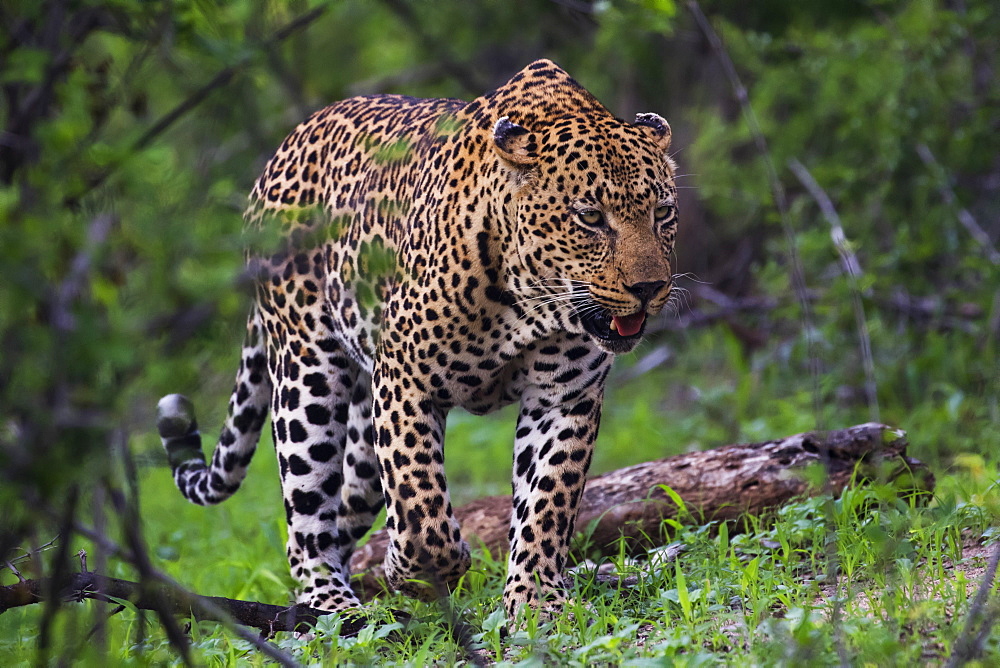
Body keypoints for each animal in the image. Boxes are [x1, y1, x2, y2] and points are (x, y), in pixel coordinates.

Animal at [158, 57, 680, 620]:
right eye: (590, 218)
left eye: (663, 213)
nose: (650, 288)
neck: (532, 303)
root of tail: (286, 145)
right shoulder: (406, 381)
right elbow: (421, 509)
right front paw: (419, 573)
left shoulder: (564, 397)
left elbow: (547, 502)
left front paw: (536, 600)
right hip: (308, 374)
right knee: (306, 522)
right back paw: (334, 607)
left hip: (364, 429)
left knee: (346, 511)